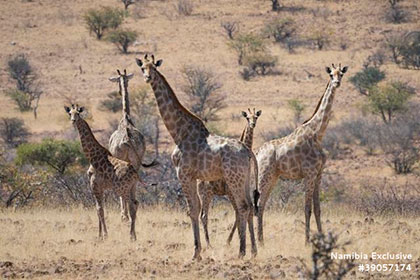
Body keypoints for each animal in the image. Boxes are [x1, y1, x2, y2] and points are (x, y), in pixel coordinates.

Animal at [63, 105, 139, 241]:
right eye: (70, 113)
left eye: (78, 114)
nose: (73, 121)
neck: (92, 157)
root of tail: (135, 173)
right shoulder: (100, 188)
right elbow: (99, 208)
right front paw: (99, 235)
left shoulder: (94, 185)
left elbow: (99, 209)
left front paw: (105, 235)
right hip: (132, 187)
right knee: (136, 204)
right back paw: (134, 236)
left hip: (122, 189)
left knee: (131, 205)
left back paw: (131, 236)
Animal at [109, 69, 157, 221]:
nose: (119, 91)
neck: (126, 118)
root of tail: (128, 139)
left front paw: (123, 214)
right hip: (136, 161)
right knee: (134, 182)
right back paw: (133, 208)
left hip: (124, 160)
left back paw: (125, 214)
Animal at [199, 108, 260, 246]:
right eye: (247, 118)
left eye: (256, 117)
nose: (253, 124)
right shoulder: (231, 193)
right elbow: (238, 213)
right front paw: (231, 240)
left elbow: (240, 213)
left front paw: (236, 239)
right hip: (207, 193)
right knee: (204, 216)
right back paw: (208, 244)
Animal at [256, 64, 348, 244]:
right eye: (331, 74)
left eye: (341, 74)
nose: (337, 83)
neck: (318, 134)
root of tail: (256, 154)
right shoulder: (309, 173)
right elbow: (307, 208)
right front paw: (307, 241)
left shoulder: (319, 173)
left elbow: (318, 209)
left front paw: (321, 237)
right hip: (264, 175)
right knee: (257, 205)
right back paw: (258, 241)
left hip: (273, 177)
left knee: (261, 205)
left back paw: (261, 241)